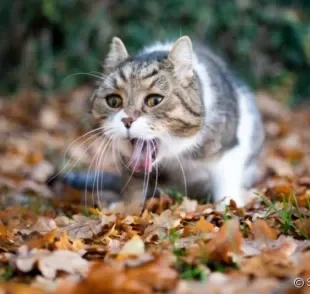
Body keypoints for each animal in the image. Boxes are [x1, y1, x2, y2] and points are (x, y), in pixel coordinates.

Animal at [88, 36, 266, 214]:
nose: (127, 120)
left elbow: (226, 180)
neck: (176, 153)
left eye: (155, 100)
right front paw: (128, 210)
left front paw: (229, 207)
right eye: (113, 101)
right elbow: (134, 186)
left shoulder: (229, 147)